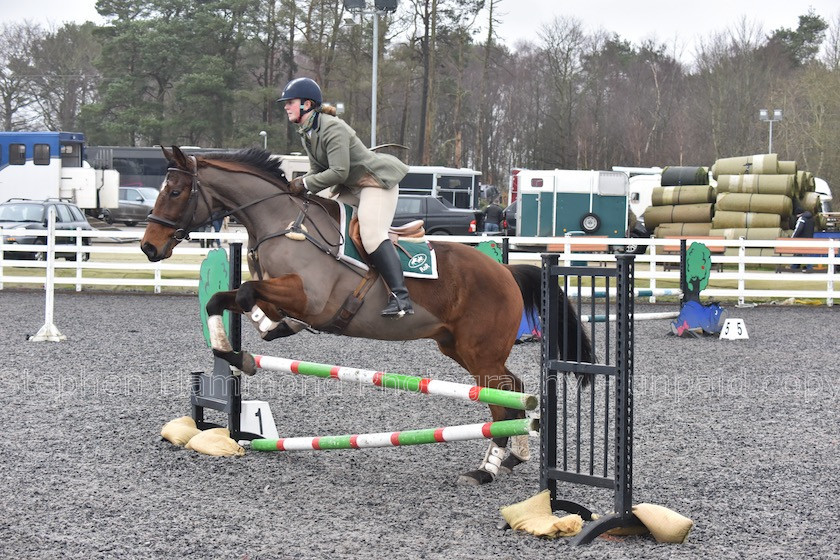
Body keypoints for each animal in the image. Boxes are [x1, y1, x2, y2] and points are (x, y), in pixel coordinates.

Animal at [143, 147, 592, 484]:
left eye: (176, 191)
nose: (149, 247)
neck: (282, 223)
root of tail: (506, 272)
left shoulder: (311, 298)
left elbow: (248, 293)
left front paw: (244, 352)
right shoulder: (281, 295)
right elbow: (224, 300)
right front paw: (238, 348)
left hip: (480, 352)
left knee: (502, 400)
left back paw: (486, 469)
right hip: (460, 349)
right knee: (514, 389)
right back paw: (515, 455)